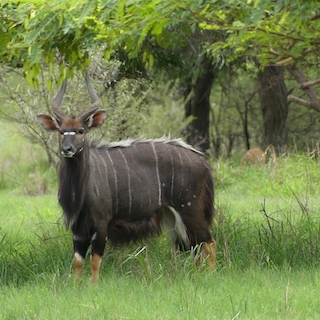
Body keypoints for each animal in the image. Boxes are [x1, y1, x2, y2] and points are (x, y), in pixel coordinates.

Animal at [38, 72, 218, 282]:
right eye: (61, 132)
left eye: (81, 131)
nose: (67, 149)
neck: (81, 189)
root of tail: (203, 163)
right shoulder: (77, 228)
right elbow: (78, 262)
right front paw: (77, 286)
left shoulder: (101, 222)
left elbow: (95, 260)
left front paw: (93, 286)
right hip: (172, 217)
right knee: (194, 247)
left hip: (191, 209)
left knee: (209, 243)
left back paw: (210, 277)